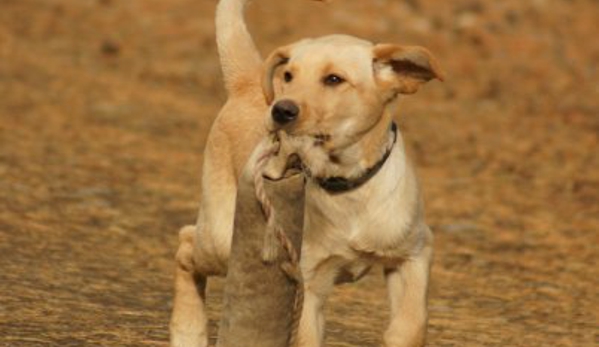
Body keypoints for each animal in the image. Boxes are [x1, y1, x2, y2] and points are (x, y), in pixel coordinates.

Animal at [171, 0, 442, 347]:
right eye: (288, 75)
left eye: (334, 79)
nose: (280, 110)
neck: (347, 185)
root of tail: (247, 83)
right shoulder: (307, 284)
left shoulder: (415, 252)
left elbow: (410, 324)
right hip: (221, 238)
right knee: (185, 241)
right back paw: (188, 332)